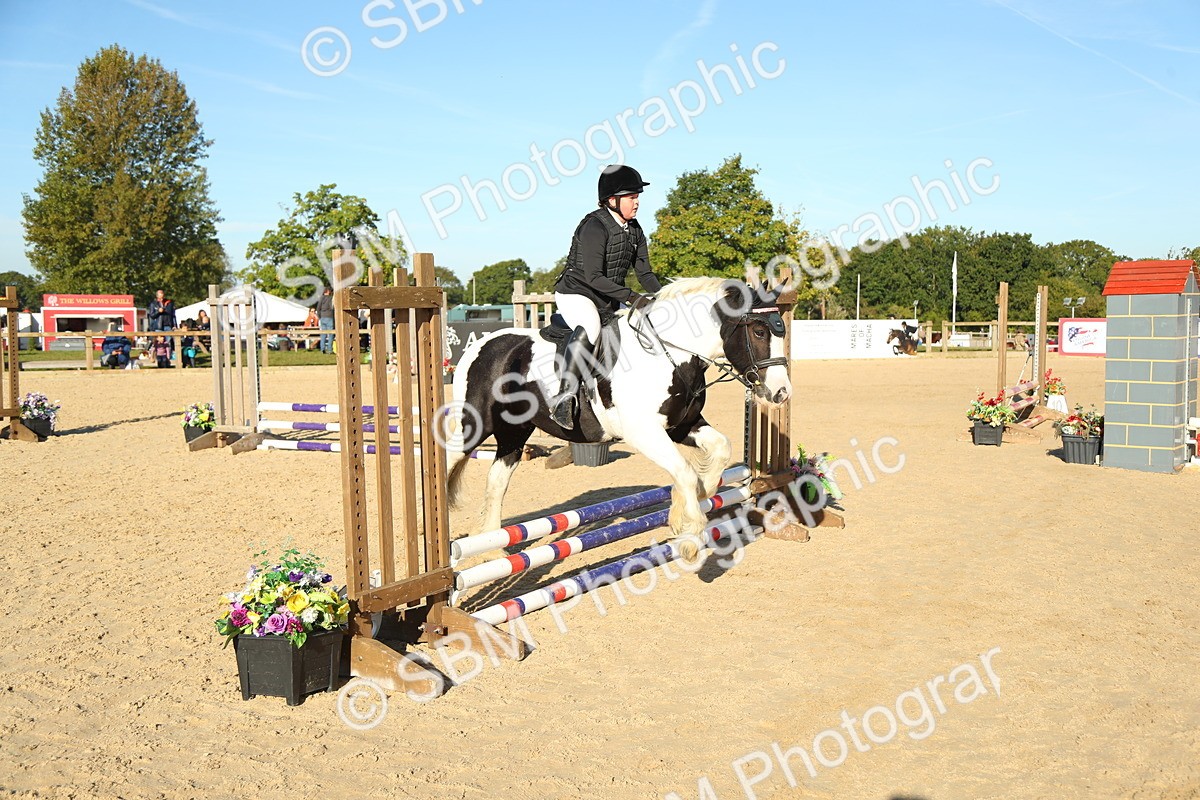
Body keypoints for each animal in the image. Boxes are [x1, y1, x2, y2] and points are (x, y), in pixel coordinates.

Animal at [443, 277, 792, 549]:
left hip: (515, 431)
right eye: (759, 332)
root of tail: (484, 344)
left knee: (498, 477)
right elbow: (683, 472)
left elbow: (720, 450)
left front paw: (698, 495)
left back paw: (491, 546)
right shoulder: (643, 432)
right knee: (448, 463)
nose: (781, 393)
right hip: (474, 425)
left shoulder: (682, 425)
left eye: (781, 331)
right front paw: (690, 533)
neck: (669, 354)